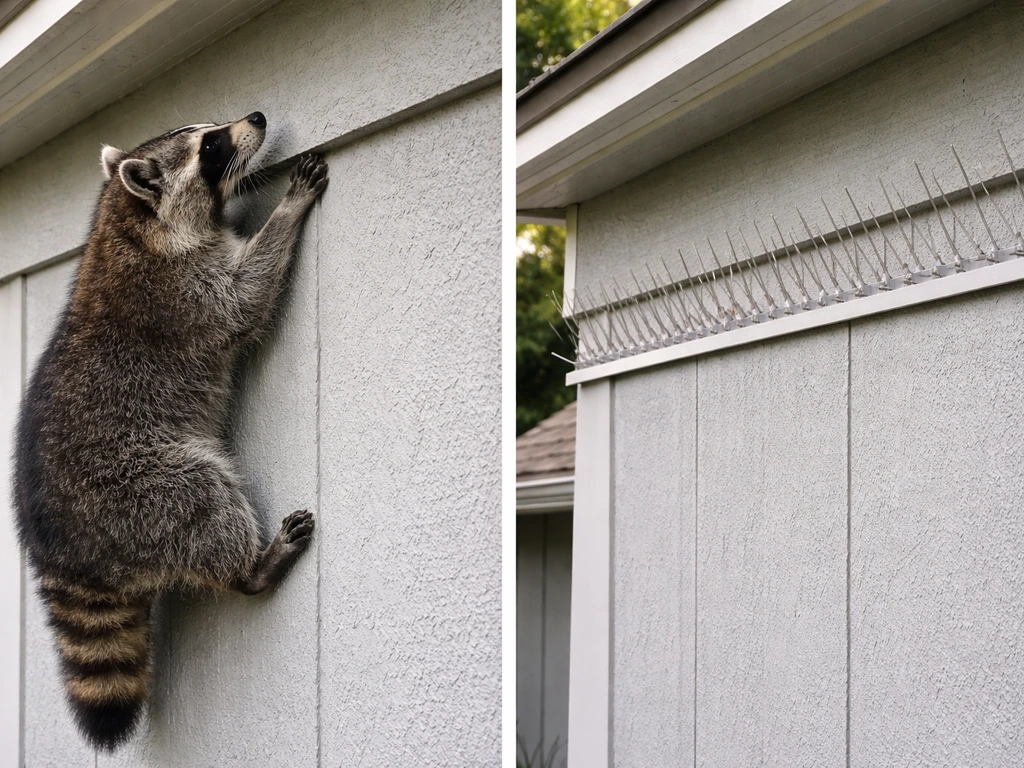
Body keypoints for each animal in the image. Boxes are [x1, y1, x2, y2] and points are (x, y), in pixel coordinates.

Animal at [13, 111, 328, 750]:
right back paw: (251, 568)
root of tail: (58, 550)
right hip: (139, 487)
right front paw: (288, 208)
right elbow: (245, 299)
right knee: (203, 500)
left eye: (210, 126)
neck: (129, 223)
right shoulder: (181, 294)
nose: (257, 117)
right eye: (211, 145)